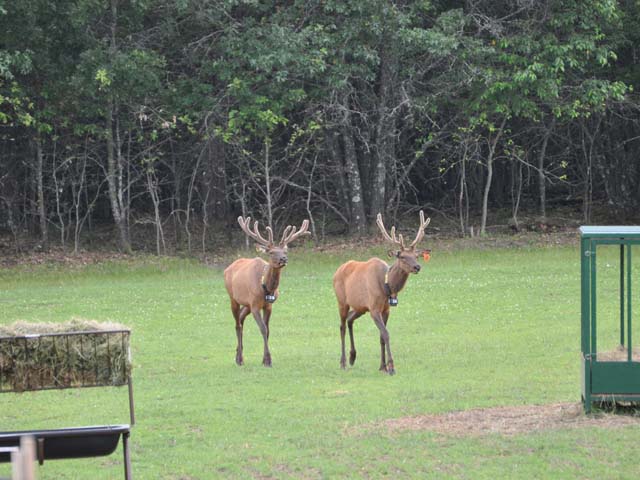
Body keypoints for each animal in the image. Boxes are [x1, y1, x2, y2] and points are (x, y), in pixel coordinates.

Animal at [224, 216, 310, 367]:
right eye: (271, 252)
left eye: (285, 251)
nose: (283, 259)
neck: (265, 287)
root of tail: (227, 268)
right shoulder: (255, 306)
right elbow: (263, 329)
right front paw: (268, 360)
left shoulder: (268, 306)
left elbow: (268, 330)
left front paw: (265, 359)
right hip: (233, 298)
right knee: (237, 324)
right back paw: (239, 359)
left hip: (247, 304)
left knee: (241, 318)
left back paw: (238, 354)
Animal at [332, 211, 431, 375]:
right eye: (402, 256)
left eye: (416, 256)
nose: (417, 267)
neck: (386, 287)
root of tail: (337, 270)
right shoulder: (374, 308)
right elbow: (386, 334)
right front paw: (391, 367)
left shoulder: (385, 309)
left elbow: (381, 336)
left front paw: (382, 366)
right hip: (342, 301)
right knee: (342, 326)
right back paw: (343, 362)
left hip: (361, 307)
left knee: (350, 319)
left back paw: (353, 356)